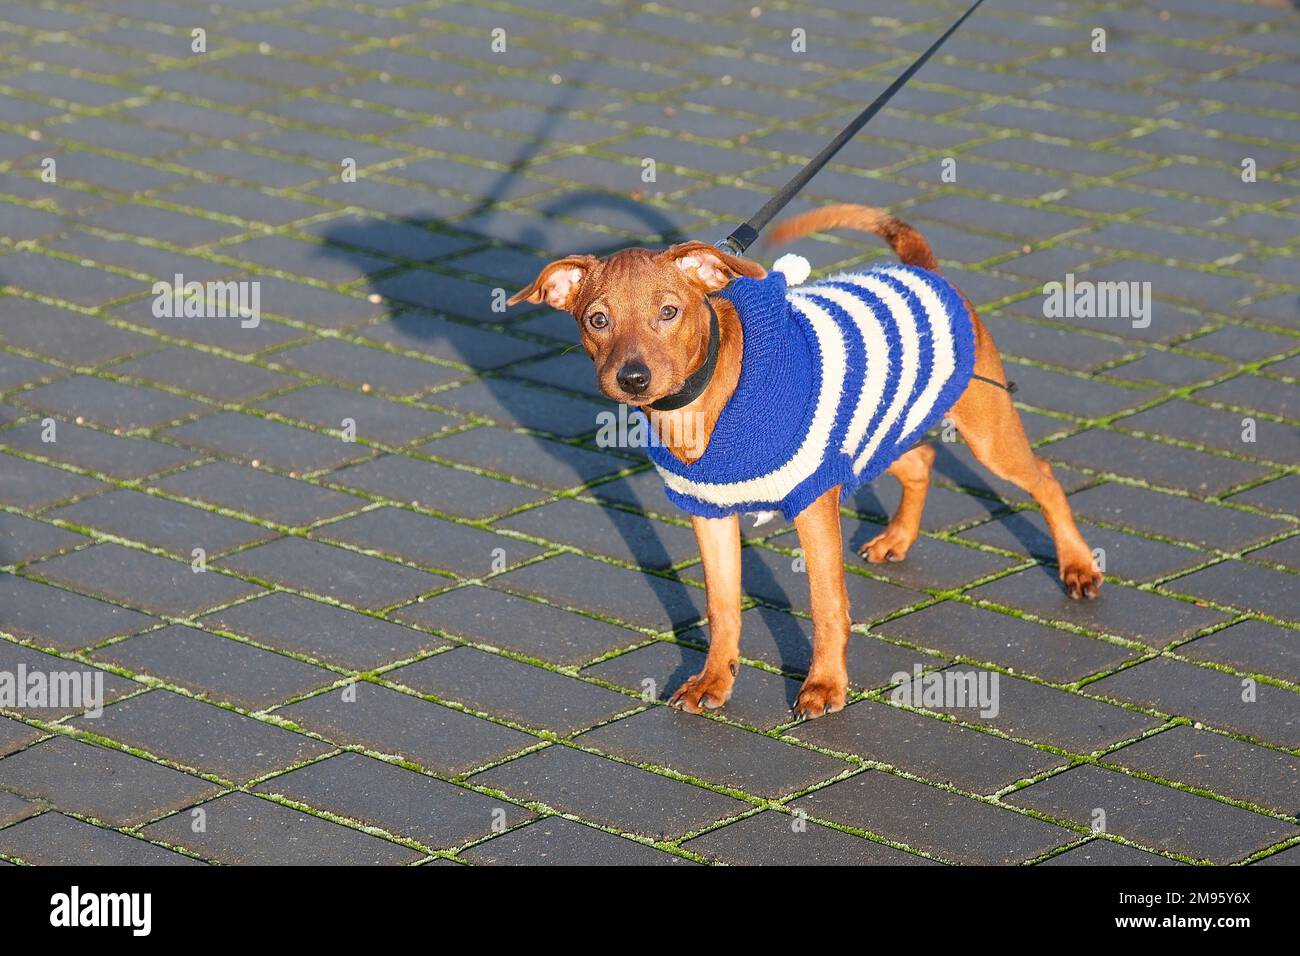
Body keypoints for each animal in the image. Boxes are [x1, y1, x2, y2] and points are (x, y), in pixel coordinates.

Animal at [506, 208, 1097, 717]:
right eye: (597, 320)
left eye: (668, 311)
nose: (632, 378)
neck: (701, 409)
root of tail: (921, 266)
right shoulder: (709, 513)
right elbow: (723, 605)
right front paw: (713, 681)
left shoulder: (813, 501)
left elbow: (826, 603)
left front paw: (824, 686)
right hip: (873, 435)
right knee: (921, 459)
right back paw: (898, 538)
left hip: (987, 433)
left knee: (1044, 479)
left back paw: (1078, 566)